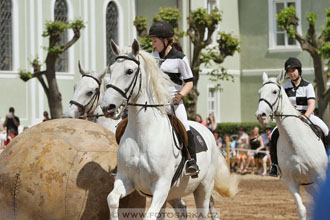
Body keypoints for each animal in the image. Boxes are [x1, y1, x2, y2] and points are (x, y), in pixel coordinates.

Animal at [100, 40, 237, 220]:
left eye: (129, 71)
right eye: (111, 70)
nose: (107, 107)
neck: (142, 134)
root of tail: (209, 134)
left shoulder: (161, 187)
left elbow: (149, 216)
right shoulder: (126, 179)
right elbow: (112, 199)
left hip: (203, 187)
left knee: (203, 210)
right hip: (174, 193)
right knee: (184, 209)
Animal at [255, 71, 328, 219]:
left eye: (274, 91)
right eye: (260, 92)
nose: (261, 115)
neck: (296, 144)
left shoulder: (321, 177)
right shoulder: (290, 181)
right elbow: (302, 210)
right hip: (309, 185)